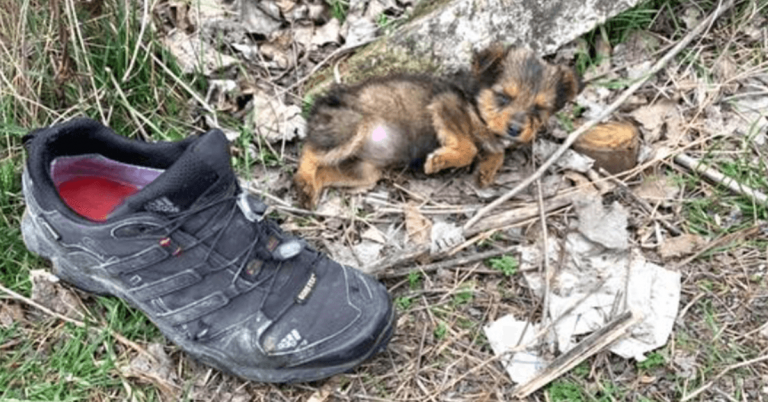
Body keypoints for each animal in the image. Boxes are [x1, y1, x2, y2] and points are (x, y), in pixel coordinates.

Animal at [294, 42, 584, 209]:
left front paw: (486, 170)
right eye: (503, 97)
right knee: (309, 150)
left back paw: (311, 188)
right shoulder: (446, 106)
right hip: (350, 127)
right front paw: (441, 160)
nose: (515, 129)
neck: (476, 102)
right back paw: (304, 180)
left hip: (363, 172)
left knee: (326, 170)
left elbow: (495, 150)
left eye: (538, 109)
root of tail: (321, 104)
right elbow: (468, 146)